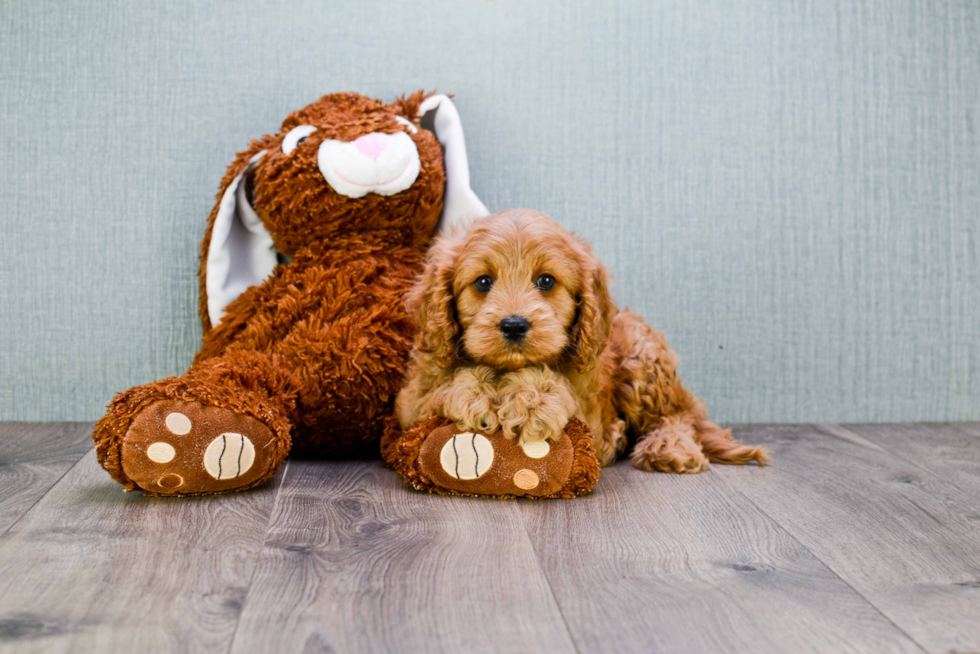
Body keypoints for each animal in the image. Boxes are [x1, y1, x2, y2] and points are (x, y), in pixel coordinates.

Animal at [394, 210, 768, 472]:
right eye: (483, 282)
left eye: (546, 281)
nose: (514, 325)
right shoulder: (410, 404)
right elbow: (441, 388)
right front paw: (474, 393)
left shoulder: (588, 410)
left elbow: (559, 391)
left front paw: (530, 400)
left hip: (644, 358)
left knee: (676, 415)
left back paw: (668, 446)